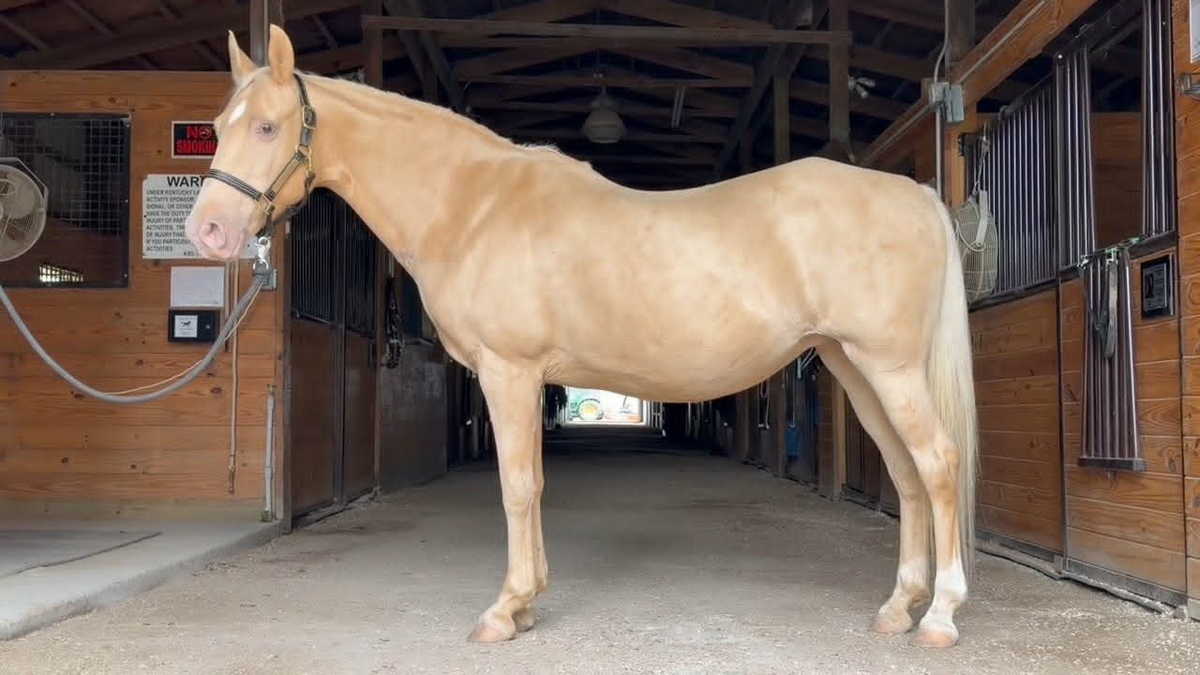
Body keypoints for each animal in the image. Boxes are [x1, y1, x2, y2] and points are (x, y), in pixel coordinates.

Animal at [184, 25, 980, 650]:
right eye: (218, 123)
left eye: (266, 127)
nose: (208, 233)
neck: (473, 206)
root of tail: (914, 193)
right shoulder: (526, 378)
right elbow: (531, 485)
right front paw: (529, 602)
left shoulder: (508, 372)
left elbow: (516, 486)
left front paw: (504, 610)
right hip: (854, 366)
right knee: (906, 473)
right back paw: (897, 608)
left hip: (889, 366)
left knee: (938, 464)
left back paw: (941, 615)